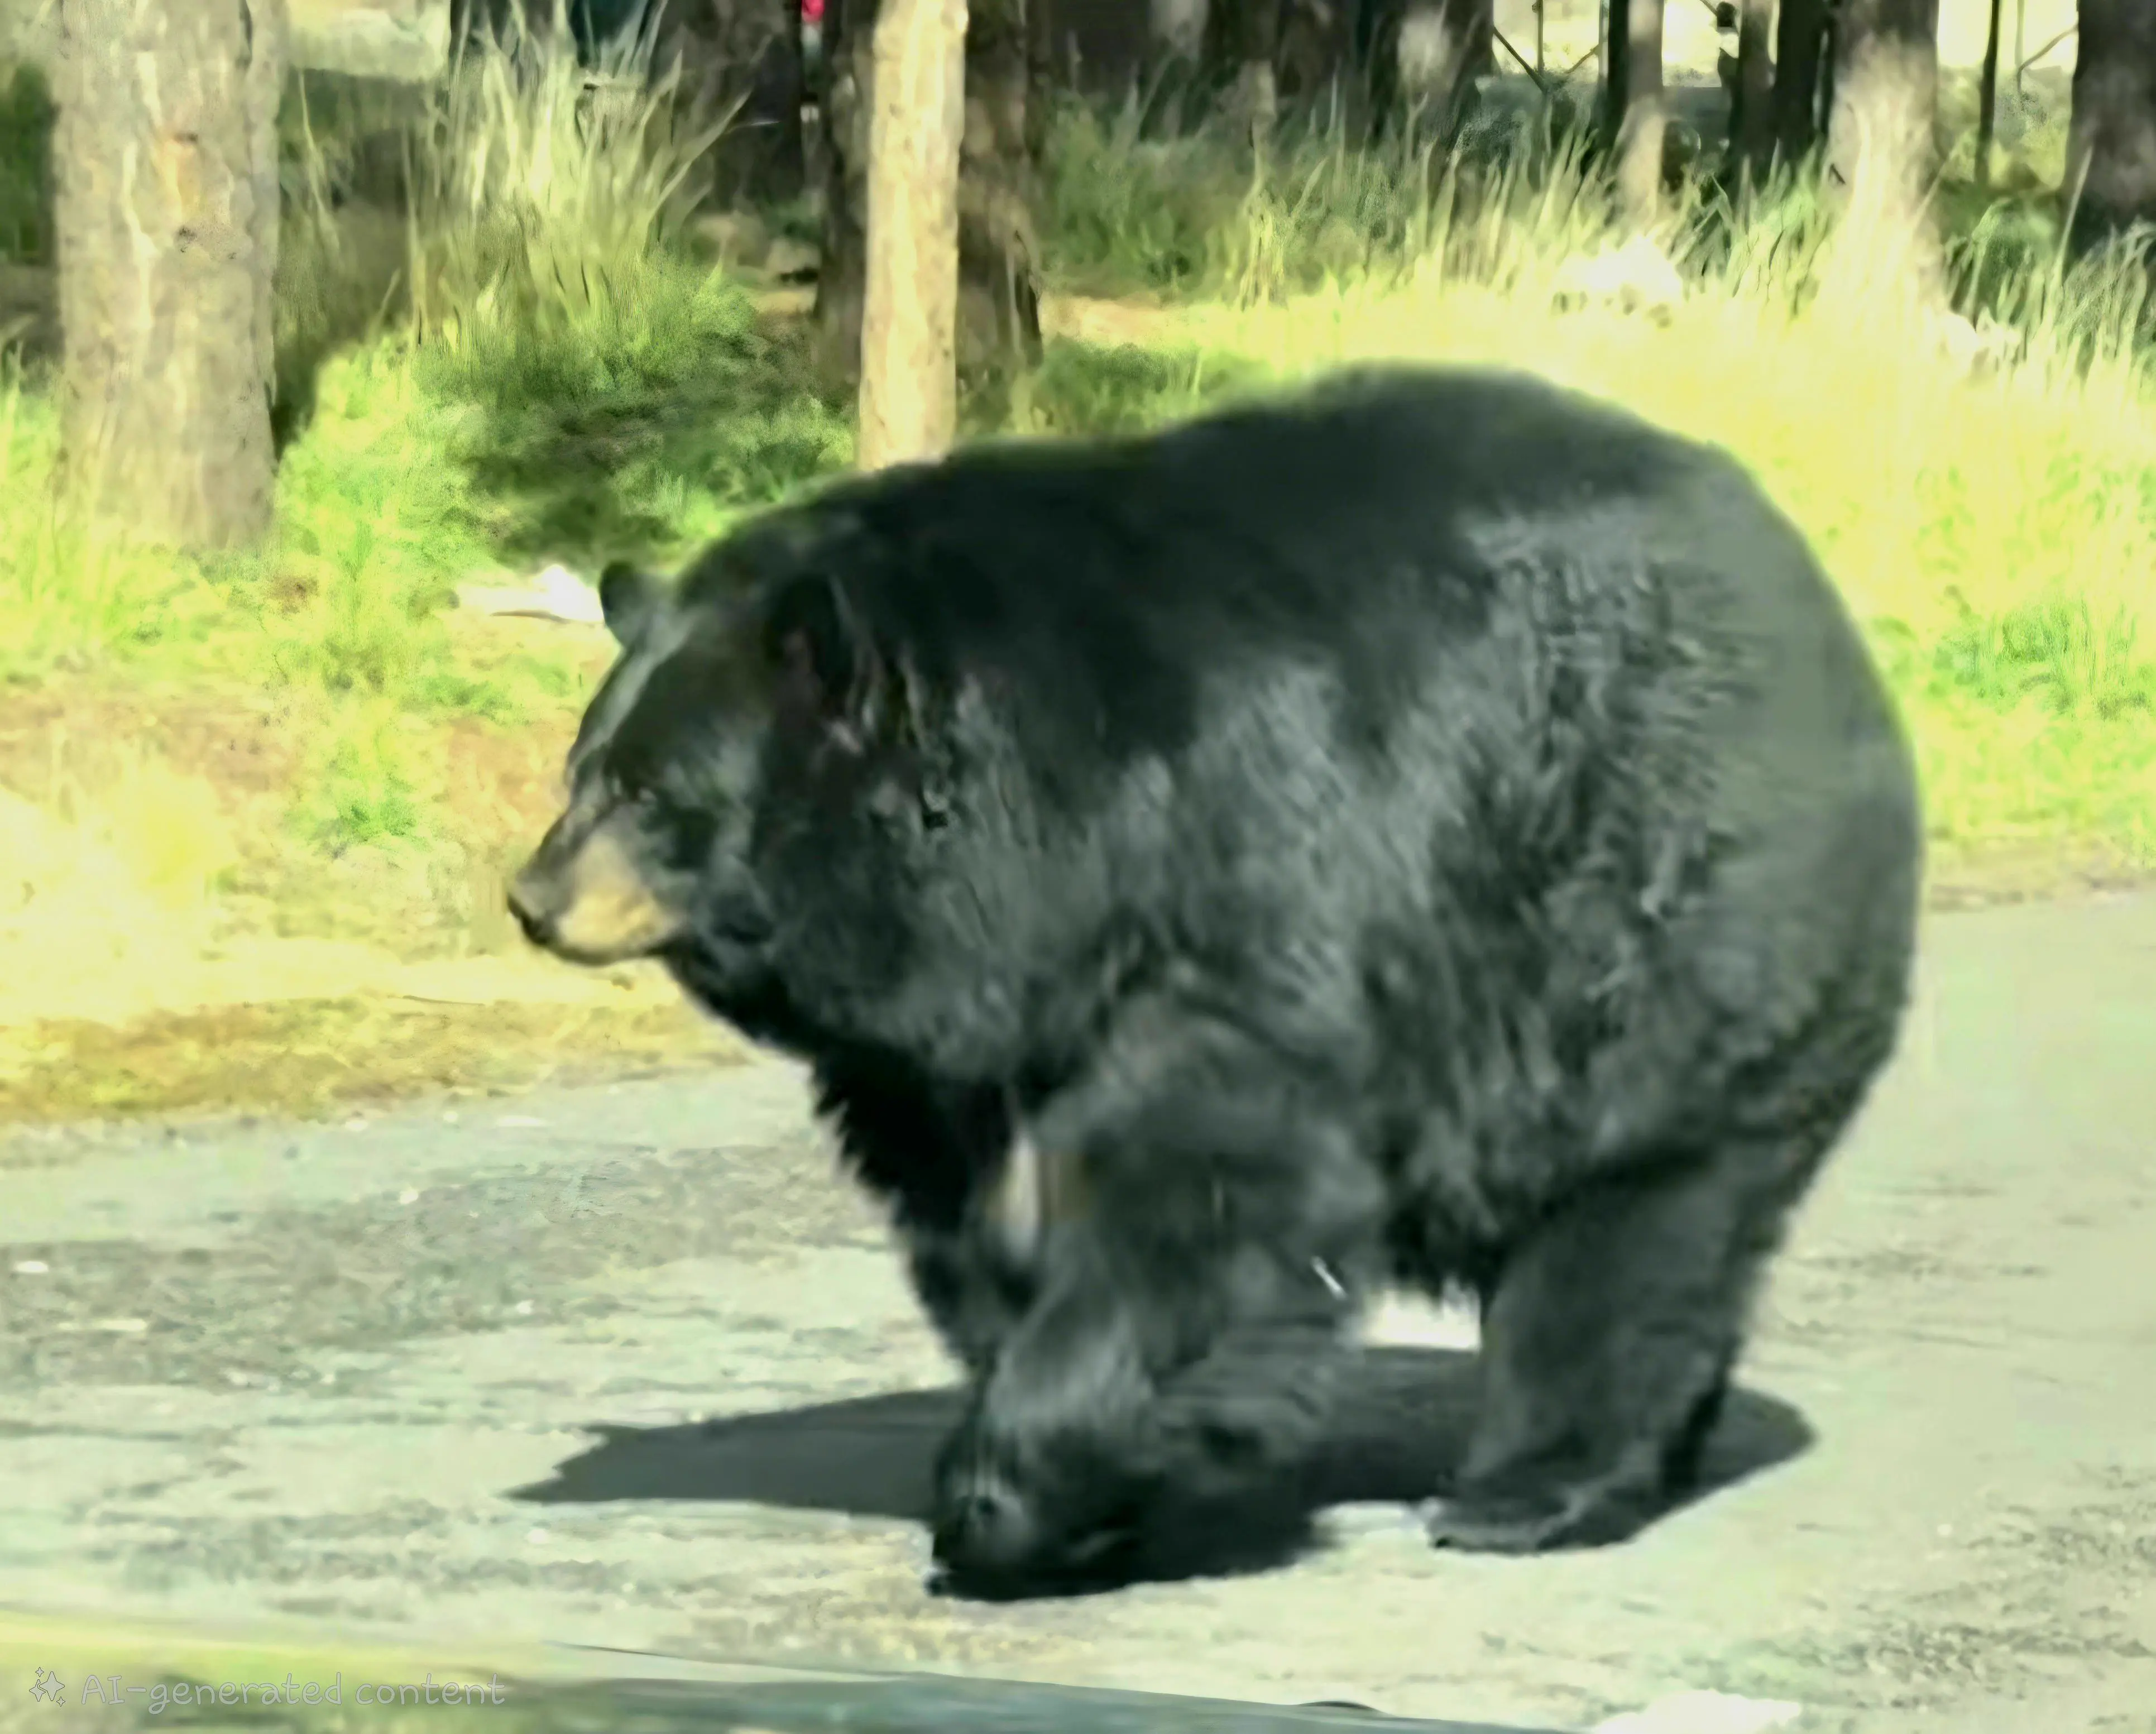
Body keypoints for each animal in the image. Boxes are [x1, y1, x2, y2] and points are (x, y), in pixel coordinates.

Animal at [507, 362, 1924, 1598]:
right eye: (581, 766)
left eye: (650, 792)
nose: (530, 898)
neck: (1039, 859)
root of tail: (1813, 599)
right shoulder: (958, 1056)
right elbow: (984, 1230)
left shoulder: (1241, 909)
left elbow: (1195, 1218)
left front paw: (1013, 1498)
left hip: (1653, 944)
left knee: (1622, 1225)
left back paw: (1524, 1490)